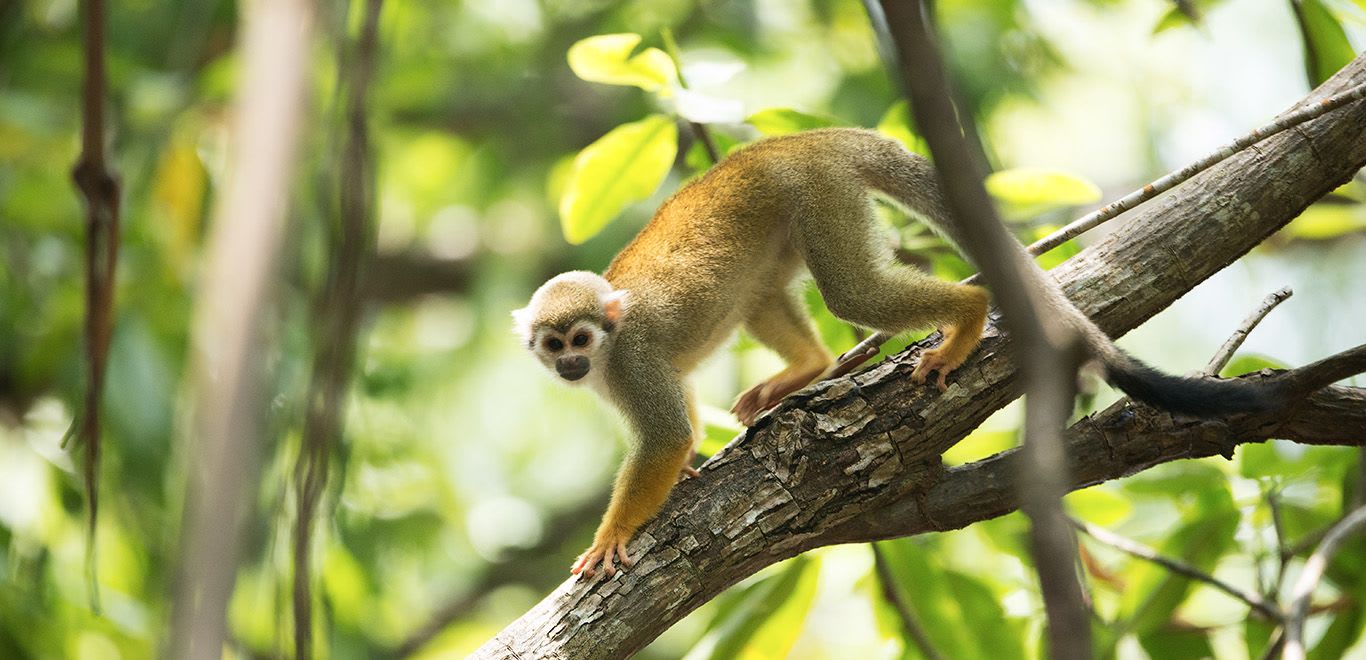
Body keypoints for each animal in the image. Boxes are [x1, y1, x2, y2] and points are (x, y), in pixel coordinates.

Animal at [513, 126, 1278, 576]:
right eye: (553, 346)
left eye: (581, 339)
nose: (569, 364)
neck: (608, 353)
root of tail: (796, 140)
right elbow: (682, 429)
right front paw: (691, 472)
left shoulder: (631, 359)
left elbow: (667, 435)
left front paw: (612, 535)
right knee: (765, 294)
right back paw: (809, 369)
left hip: (819, 194)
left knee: (852, 293)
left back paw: (966, 318)